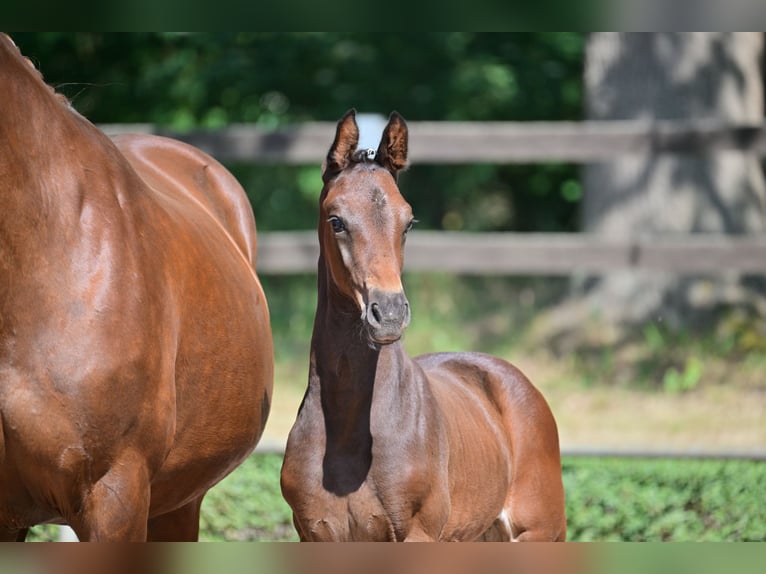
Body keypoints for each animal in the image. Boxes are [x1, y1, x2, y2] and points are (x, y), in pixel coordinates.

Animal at [280, 109, 566, 542]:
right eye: (337, 221)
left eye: (409, 222)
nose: (389, 312)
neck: (348, 429)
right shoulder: (315, 532)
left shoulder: (416, 532)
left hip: (541, 532)